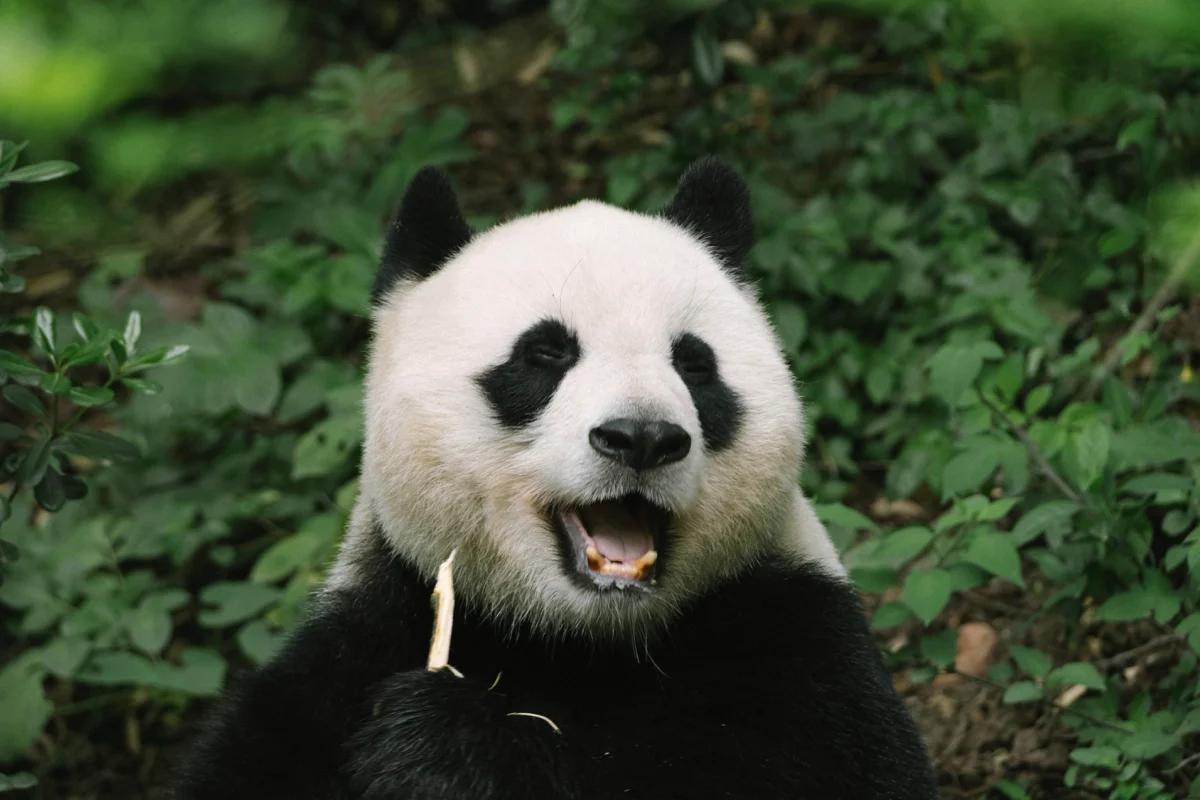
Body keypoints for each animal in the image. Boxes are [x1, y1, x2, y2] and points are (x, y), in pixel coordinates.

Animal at [173, 158, 938, 799]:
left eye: (694, 364)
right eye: (545, 354)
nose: (642, 437)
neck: (580, 637)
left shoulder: (794, 634)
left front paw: (443, 745)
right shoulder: (364, 634)